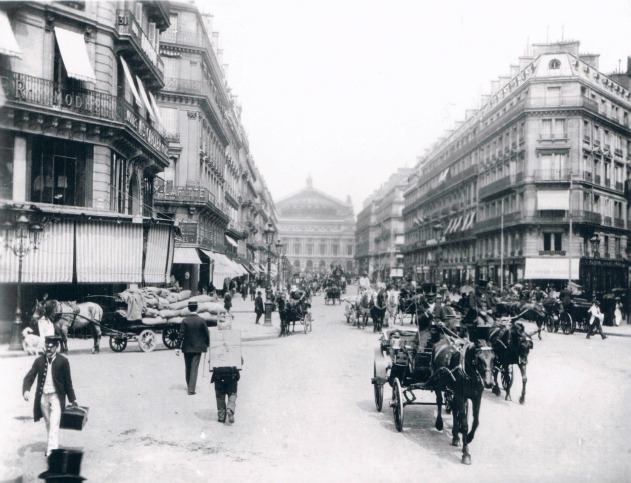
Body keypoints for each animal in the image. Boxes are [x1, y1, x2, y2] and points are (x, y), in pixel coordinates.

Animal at [432, 336, 496, 466]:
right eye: (479, 359)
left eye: (493, 357)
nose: (489, 383)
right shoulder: (461, 396)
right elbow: (465, 424)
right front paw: (466, 453)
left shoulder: (476, 397)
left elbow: (475, 421)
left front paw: (469, 437)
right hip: (438, 384)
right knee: (439, 401)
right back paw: (439, 423)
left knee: (455, 409)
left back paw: (456, 436)